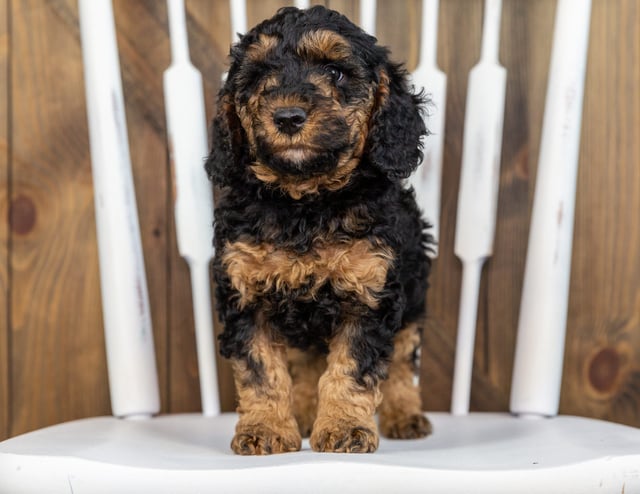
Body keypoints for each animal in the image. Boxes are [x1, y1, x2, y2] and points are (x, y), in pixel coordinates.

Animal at [208, 5, 432, 456]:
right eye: (259, 75)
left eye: (335, 72)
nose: (288, 116)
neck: (305, 204)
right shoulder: (244, 293)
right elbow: (261, 371)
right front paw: (266, 429)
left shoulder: (370, 291)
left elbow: (352, 369)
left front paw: (344, 427)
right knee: (307, 366)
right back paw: (306, 414)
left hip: (415, 295)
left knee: (401, 361)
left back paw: (404, 416)